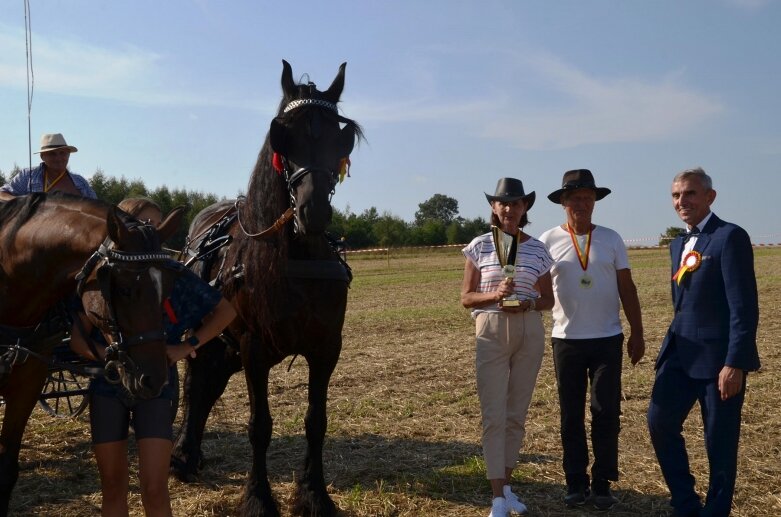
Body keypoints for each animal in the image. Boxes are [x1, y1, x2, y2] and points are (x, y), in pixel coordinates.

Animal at [172, 61, 362, 516]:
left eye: (339, 136)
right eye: (283, 134)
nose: (313, 211)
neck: (297, 258)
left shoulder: (326, 346)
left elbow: (316, 421)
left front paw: (315, 494)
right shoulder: (253, 347)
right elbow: (259, 425)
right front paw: (258, 497)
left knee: (206, 389)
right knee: (195, 385)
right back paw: (183, 454)